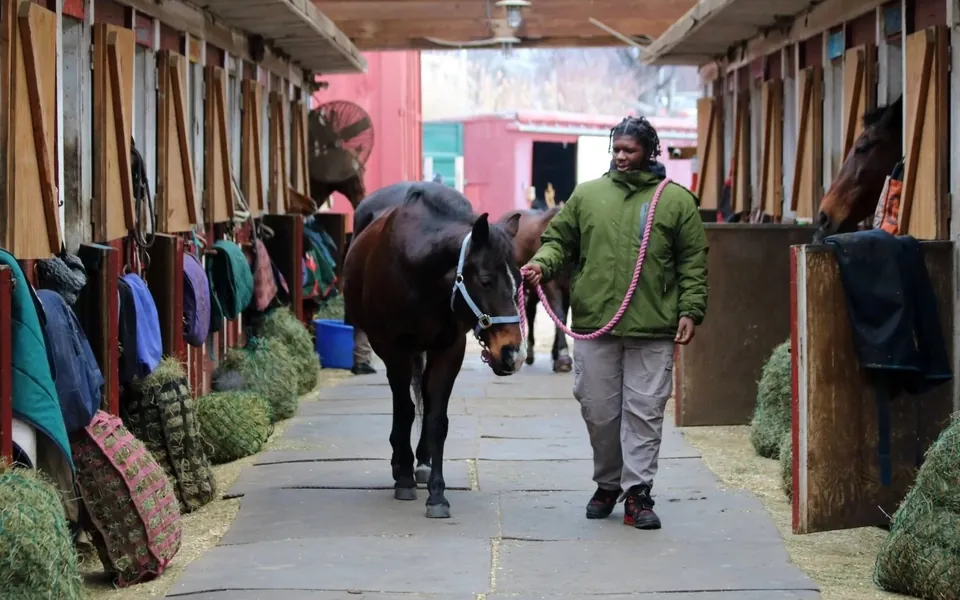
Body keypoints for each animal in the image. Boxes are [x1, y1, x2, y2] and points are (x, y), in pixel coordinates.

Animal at [343, 181, 525, 518]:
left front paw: (437, 494)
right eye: (486, 280)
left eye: (519, 280)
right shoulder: (393, 348)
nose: (513, 355)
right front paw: (403, 477)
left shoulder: (448, 349)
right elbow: (404, 410)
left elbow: (437, 419)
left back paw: (423, 463)